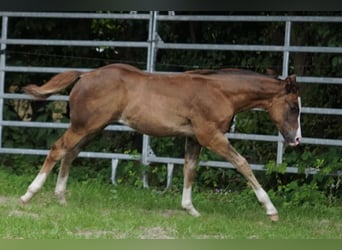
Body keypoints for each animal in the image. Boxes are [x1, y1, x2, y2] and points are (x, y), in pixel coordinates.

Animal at [20, 62, 300, 221]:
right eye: (293, 107)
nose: (296, 139)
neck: (220, 92)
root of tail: (85, 75)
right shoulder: (211, 136)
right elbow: (242, 164)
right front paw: (271, 210)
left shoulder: (194, 138)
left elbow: (189, 169)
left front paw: (190, 209)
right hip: (83, 126)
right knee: (58, 149)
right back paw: (28, 195)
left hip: (92, 129)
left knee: (70, 153)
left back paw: (61, 197)